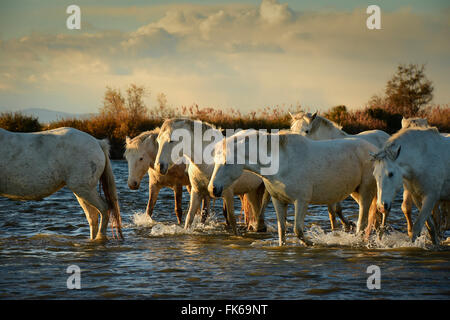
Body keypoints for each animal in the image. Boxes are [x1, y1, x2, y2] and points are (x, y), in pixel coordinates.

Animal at [209, 131, 378, 246]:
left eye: (226, 162)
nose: (212, 189)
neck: (282, 161)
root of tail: (374, 150)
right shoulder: (278, 201)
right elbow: (282, 230)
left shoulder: (301, 201)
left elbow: (298, 230)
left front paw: (312, 244)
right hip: (355, 192)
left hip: (365, 192)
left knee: (362, 222)